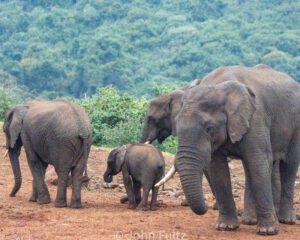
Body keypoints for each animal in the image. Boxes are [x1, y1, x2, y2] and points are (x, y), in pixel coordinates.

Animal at [175, 64, 298, 235]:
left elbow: (259, 162)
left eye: (209, 128)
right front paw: (226, 228)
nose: (207, 207)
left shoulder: (256, 117)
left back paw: (286, 221)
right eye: (176, 125)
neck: (217, 87)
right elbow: (218, 169)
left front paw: (268, 231)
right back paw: (250, 221)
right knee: (250, 167)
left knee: (289, 165)